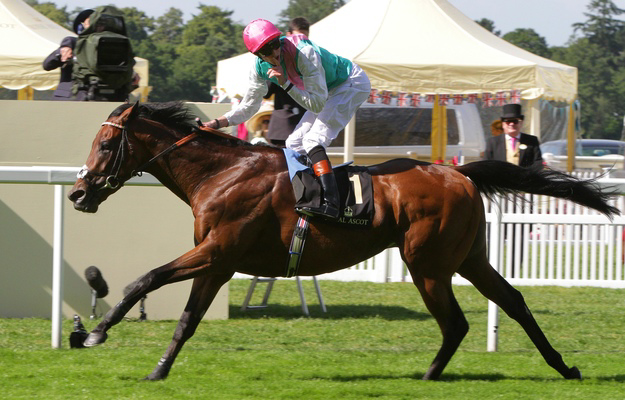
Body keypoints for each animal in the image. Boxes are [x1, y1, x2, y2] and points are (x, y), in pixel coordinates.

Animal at [67, 102, 616, 382]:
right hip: (467, 257)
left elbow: (144, 280)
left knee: (456, 321)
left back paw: (429, 377)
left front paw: (91, 334)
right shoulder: (218, 262)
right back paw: (562, 366)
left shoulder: (217, 251)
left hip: (427, 262)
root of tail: (459, 173)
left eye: (106, 143)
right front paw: (158, 371)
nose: (77, 193)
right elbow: (186, 319)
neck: (221, 173)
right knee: (512, 300)